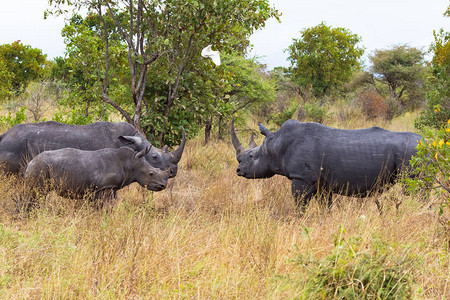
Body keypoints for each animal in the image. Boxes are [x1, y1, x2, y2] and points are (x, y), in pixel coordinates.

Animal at [23, 145, 170, 202]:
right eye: (151, 173)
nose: (163, 186)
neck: (132, 163)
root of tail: (29, 163)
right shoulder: (104, 187)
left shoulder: (110, 188)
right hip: (39, 168)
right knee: (36, 194)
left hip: (39, 167)